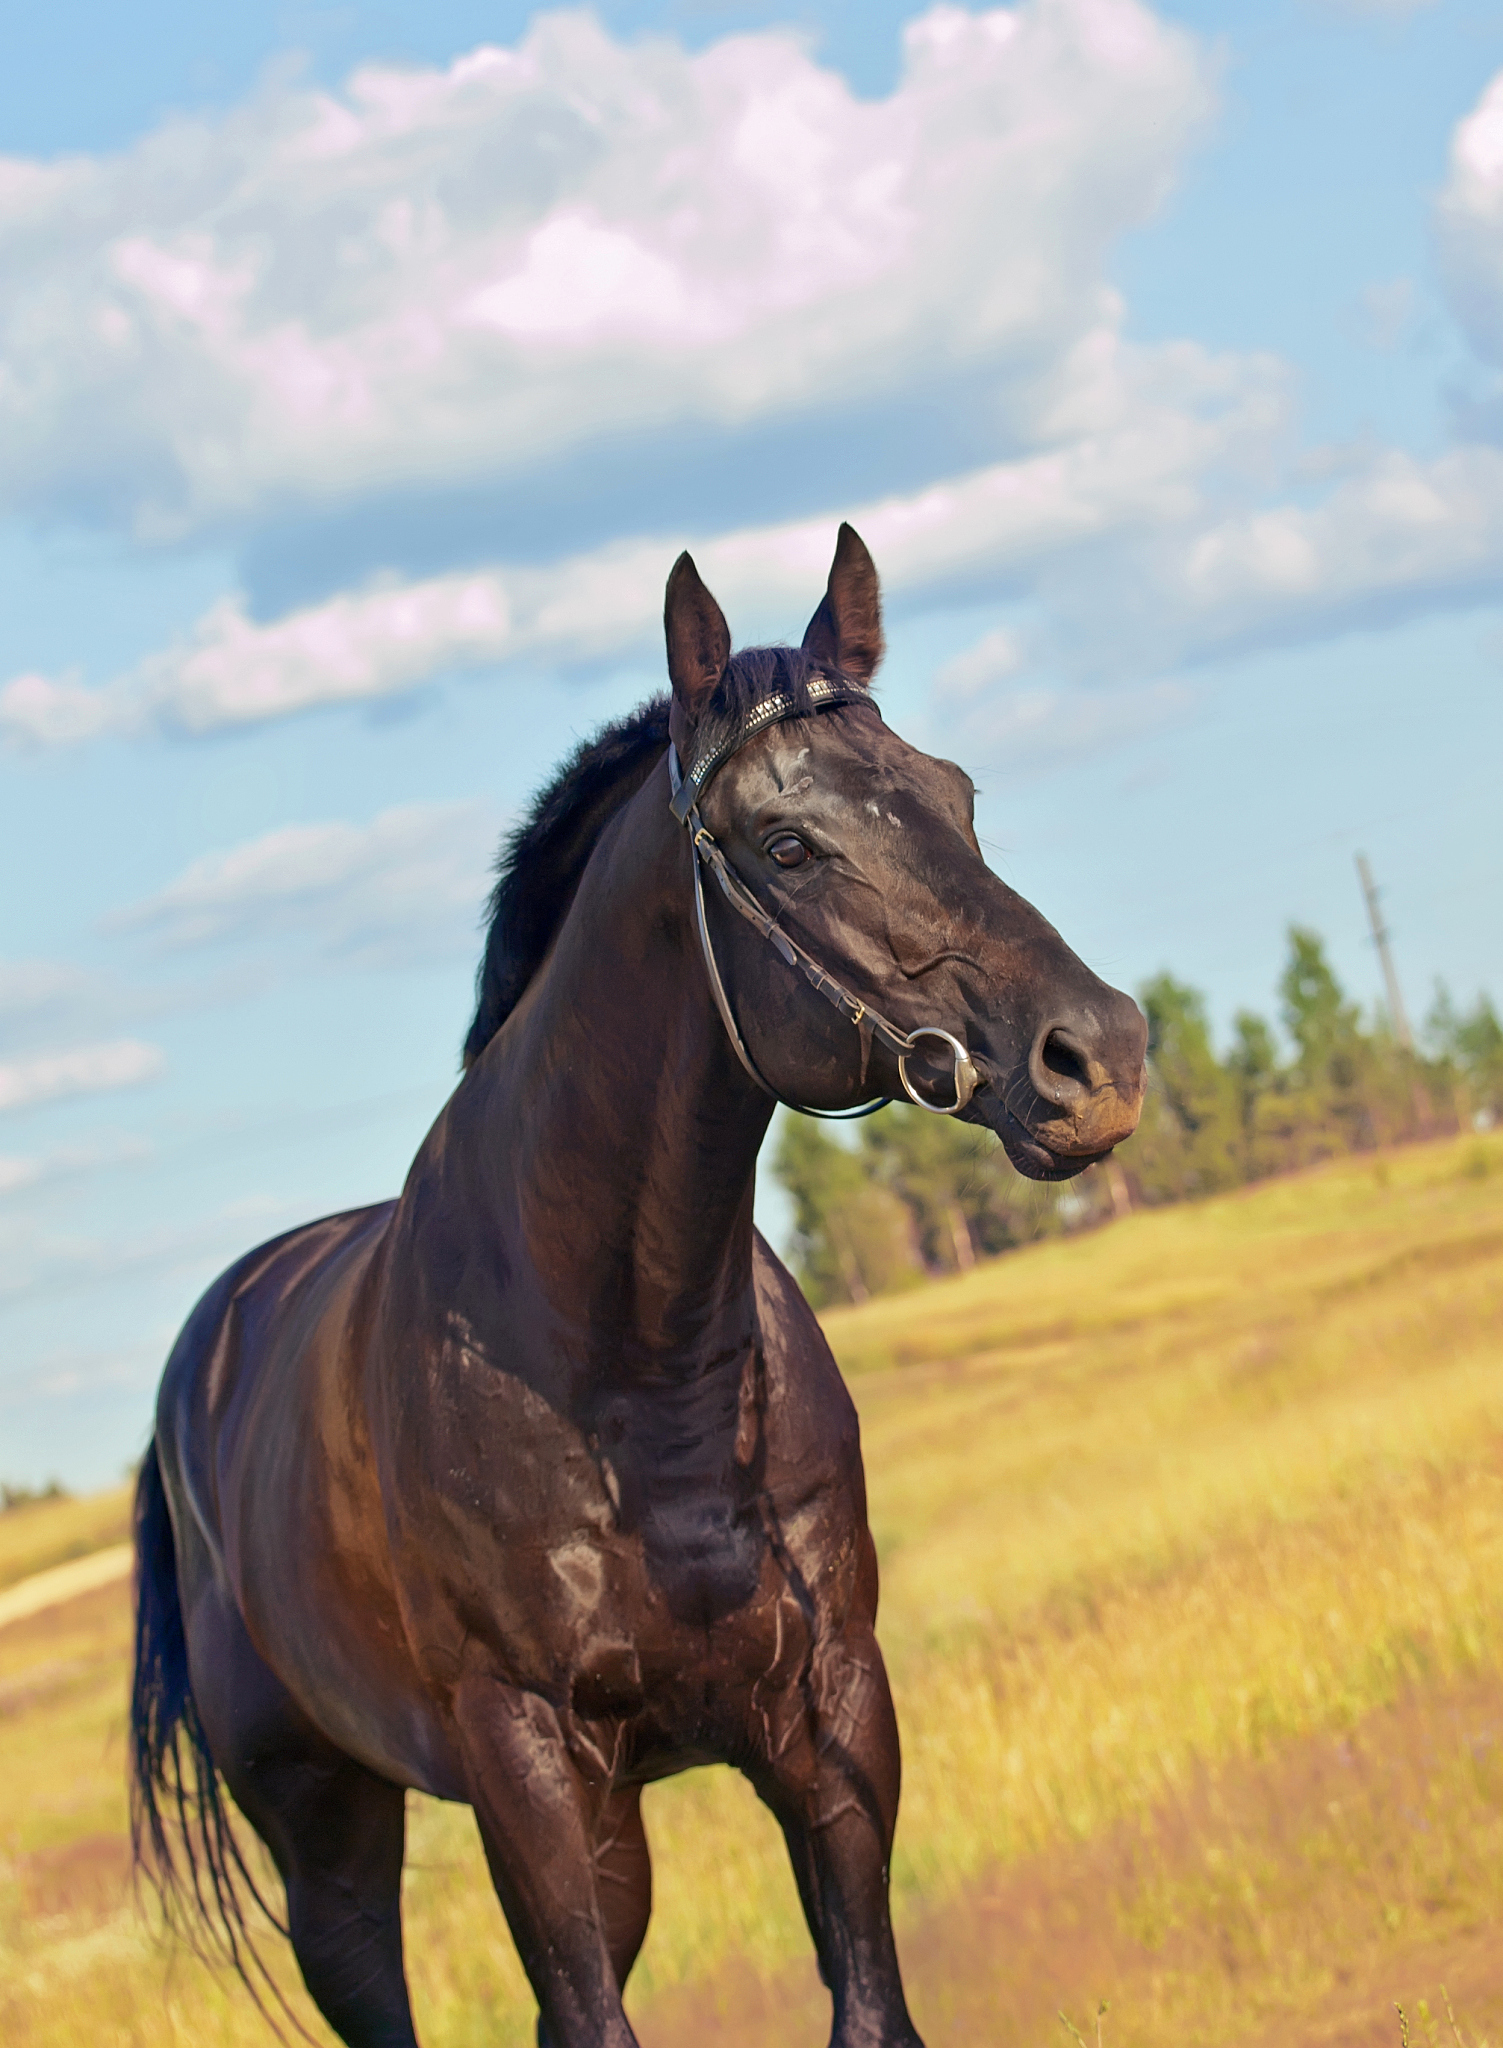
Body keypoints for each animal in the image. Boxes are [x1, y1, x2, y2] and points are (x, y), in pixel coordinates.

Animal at [130, 525, 1147, 2048]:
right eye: (786, 844)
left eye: (954, 795)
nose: (1097, 1055)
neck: (628, 1373)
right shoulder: (531, 1767)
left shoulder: (829, 1721)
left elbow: (863, 1999)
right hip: (330, 1842)